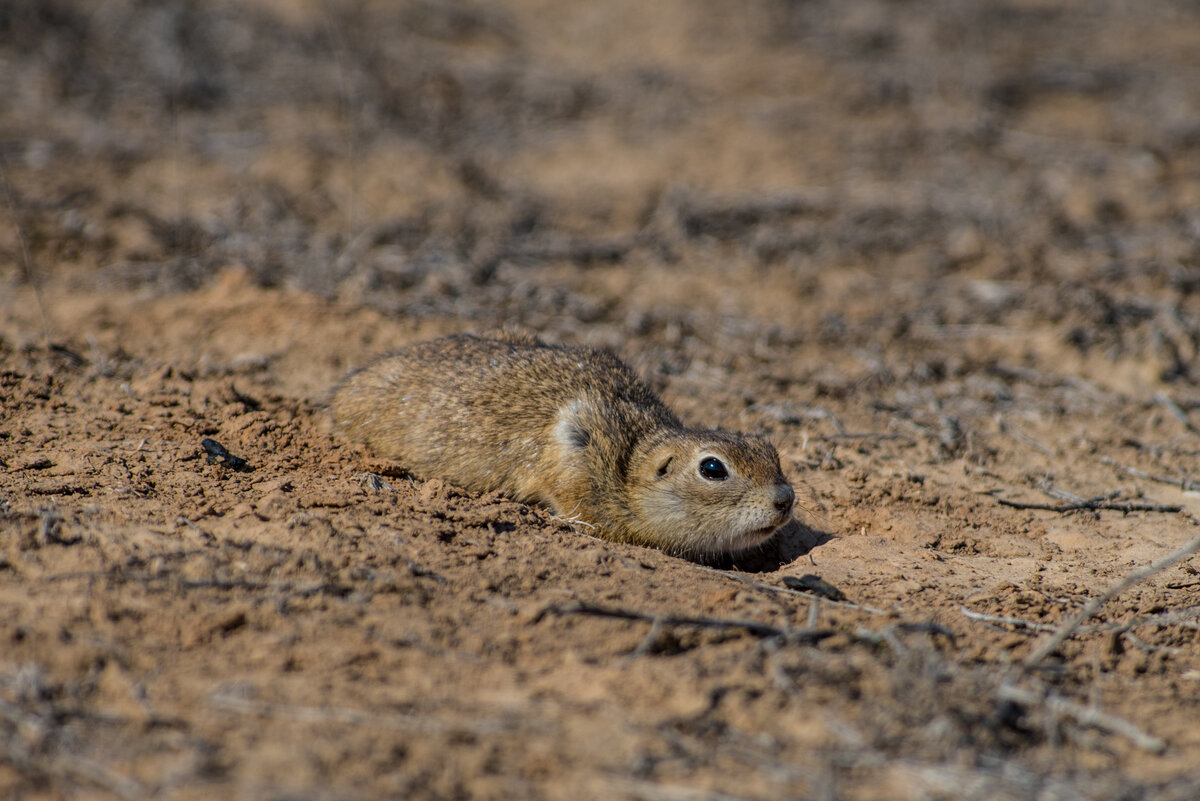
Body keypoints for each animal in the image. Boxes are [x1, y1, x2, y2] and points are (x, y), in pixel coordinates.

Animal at [331, 330, 796, 556]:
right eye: (713, 468)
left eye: (771, 451)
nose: (786, 499)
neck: (629, 458)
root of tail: (340, 394)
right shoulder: (575, 456)